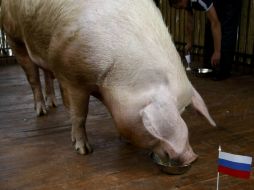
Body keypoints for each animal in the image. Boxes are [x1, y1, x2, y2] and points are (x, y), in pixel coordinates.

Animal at [1, 0, 216, 166]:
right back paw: (42, 111)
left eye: (183, 111)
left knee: (46, 74)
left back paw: (53, 104)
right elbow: (80, 115)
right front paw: (84, 150)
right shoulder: (73, 77)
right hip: (13, 37)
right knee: (33, 78)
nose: (192, 156)